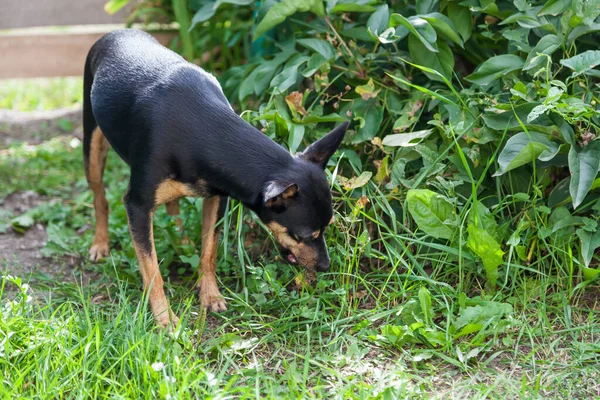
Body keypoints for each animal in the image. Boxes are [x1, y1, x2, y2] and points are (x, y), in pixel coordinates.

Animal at [82, 28, 350, 328]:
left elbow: (209, 250)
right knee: (100, 197)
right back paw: (100, 244)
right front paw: (165, 318)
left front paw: (210, 295)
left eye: (327, 228)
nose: (325, 266)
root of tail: (119, 31)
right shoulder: (137, 205)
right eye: (303, 235)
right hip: (92, 144)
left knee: (172, 204)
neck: (203, 133)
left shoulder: (217, 198)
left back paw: (181, 240)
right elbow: (152, 271)